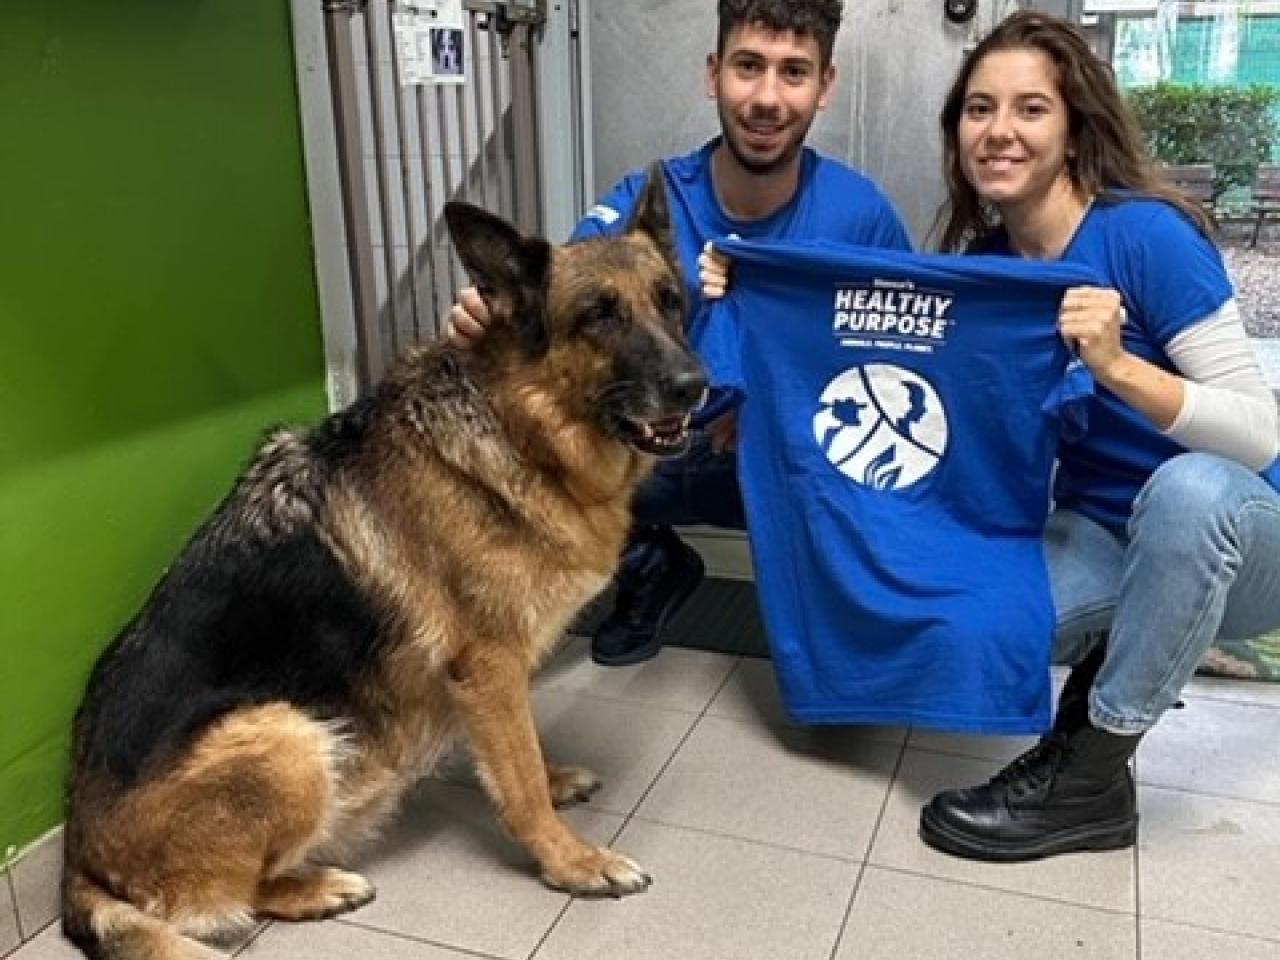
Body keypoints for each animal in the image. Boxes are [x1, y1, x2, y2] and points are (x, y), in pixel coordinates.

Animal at [62, 168, 711, 957]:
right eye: (598, 316)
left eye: (670, 301)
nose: (696, 385)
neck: (519, 428)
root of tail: (78, 861)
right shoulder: (488, 666)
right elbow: (519, 782)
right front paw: (571, 861)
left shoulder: (490, 679)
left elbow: (521, 753)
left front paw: (555, 781)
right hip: (289, 737)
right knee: (233, 897)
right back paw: (318, 886)